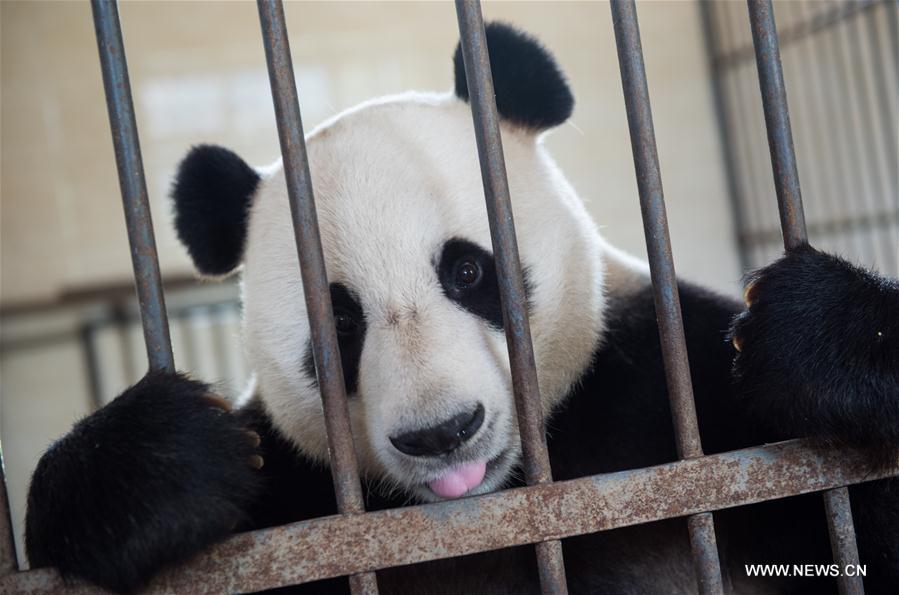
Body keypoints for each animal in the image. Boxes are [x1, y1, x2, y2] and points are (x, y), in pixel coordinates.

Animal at [22, 21, 899, 592]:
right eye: (340, 322)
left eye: (468, 270)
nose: (442, 433)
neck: (496, 502)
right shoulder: (293, 497)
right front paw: (158, 464)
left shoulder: (672, 395)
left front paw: (820, 337)